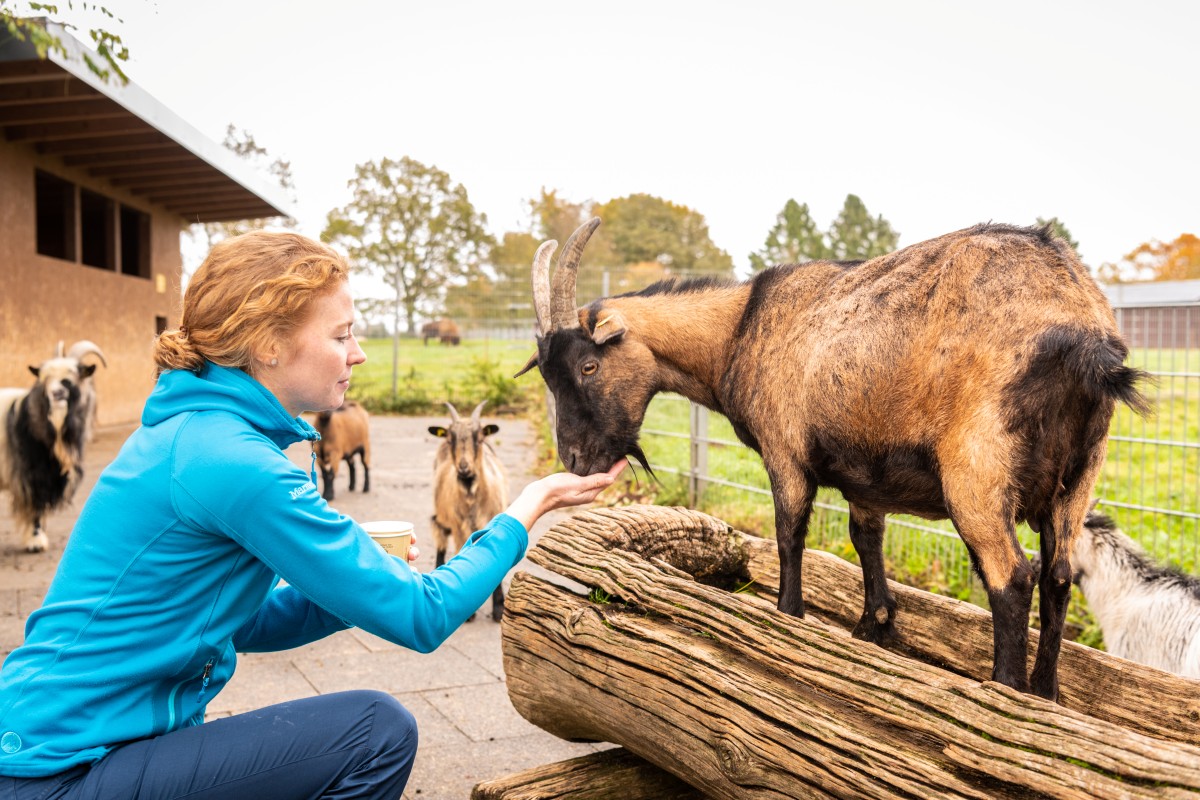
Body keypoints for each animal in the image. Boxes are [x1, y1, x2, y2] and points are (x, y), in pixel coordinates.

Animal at [1, 340, 108, 554]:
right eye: (45, 379)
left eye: (72, 378)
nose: (55, 394)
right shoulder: (30, 473)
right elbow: (36, 505)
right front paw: (35, 541)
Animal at [429, 402, 508, 623]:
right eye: (450, 439)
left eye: (479, 438)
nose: (464, 468)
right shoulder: (459, 528)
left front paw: (498, 609)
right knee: (440, 539)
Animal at [518, 217, 1152, 700]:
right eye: (547, 374)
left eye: (589, 366)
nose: (576, 459)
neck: (740, 327)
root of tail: (1082, 330)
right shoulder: (866, 480)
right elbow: (865, 541)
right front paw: (873, 629)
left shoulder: (784, 452)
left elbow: (789, 534)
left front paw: (788, 616)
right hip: (1080, 475)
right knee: (1058, 576)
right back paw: (1045, 693)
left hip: (977, 468)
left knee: (1012, 577)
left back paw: (1006, 691)